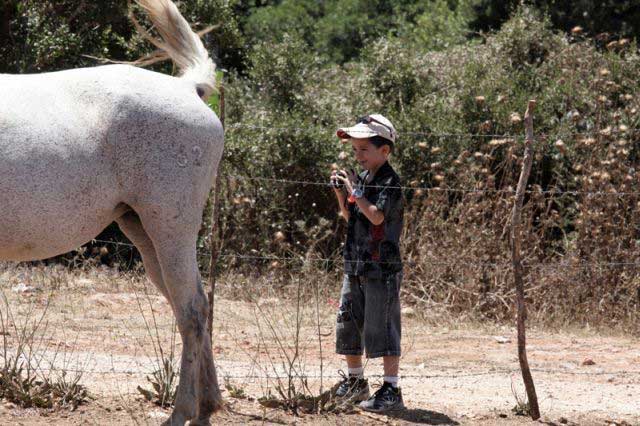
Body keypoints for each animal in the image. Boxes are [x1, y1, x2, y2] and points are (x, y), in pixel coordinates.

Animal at [0, 1, 225, 424]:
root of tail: (185, 89)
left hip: (171, 228)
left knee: (191, 310)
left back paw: (182, 411)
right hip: (143, 232)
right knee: (194, 305)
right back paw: (207, 407)